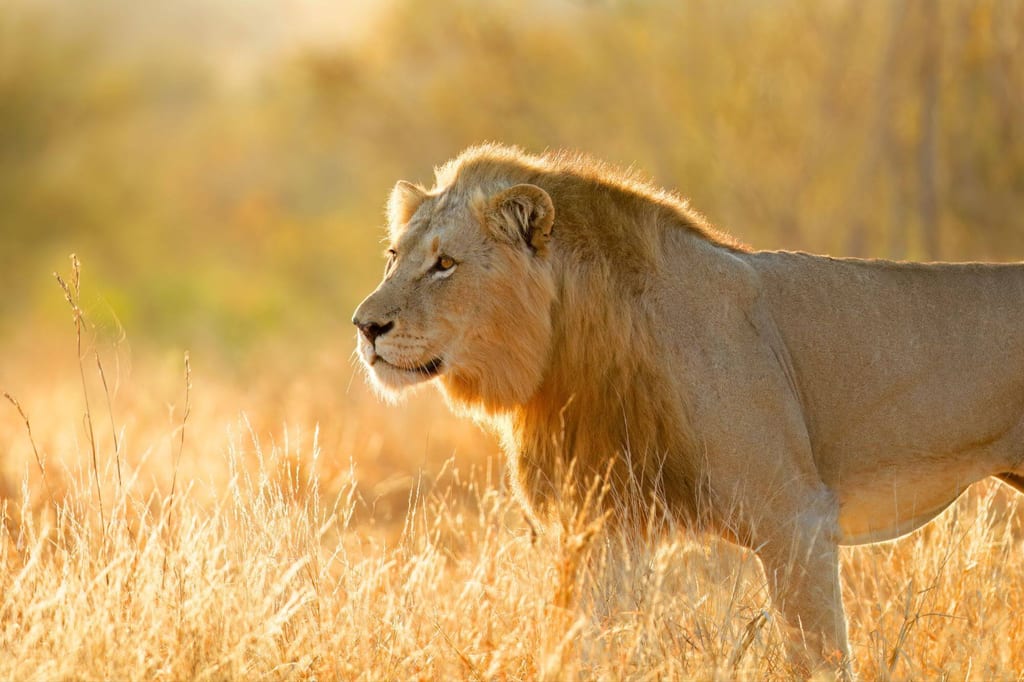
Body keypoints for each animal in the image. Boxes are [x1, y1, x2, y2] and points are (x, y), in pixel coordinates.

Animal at [351, 143, 1024, 676]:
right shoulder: (603, 525)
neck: (567, 351)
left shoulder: (797, 520)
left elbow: (819, 658)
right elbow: (582, 645)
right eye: (393, 257)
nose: (365, 326)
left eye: (445, 264)